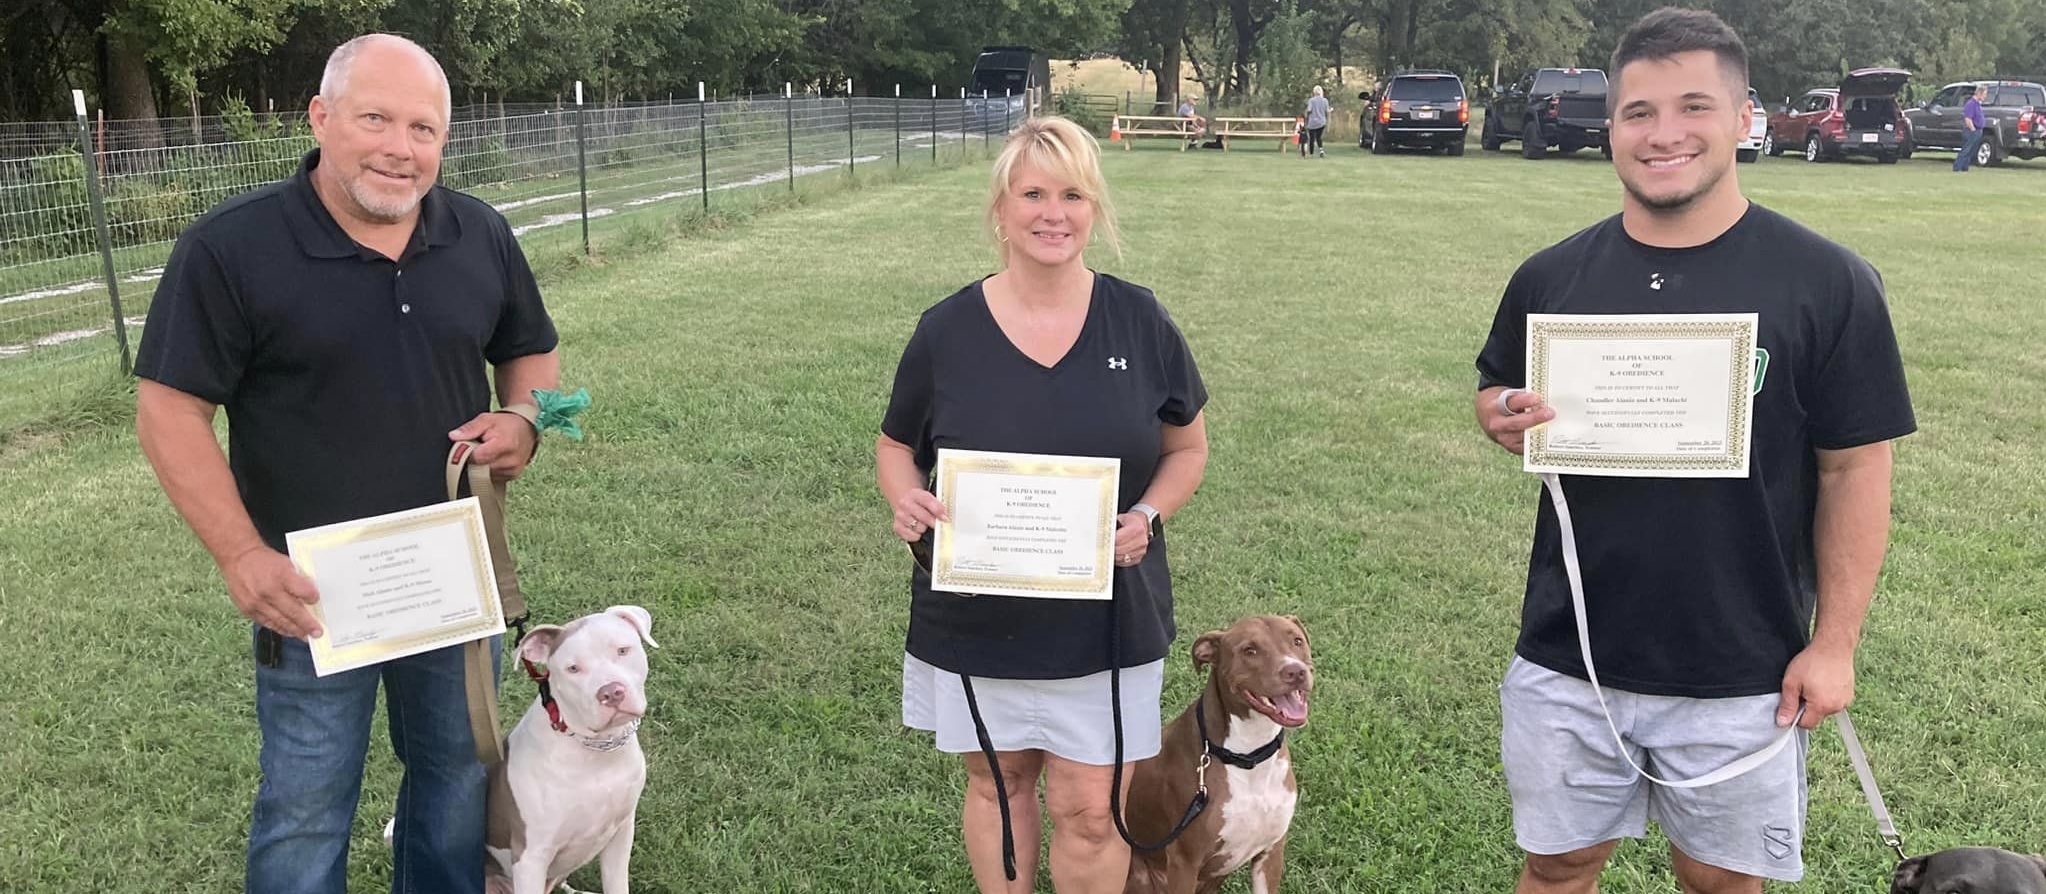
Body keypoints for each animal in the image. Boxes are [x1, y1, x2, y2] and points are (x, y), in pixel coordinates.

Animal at [482, 601, 650, 887]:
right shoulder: (530, 858)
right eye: (573, 669)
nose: (611, 692)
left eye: (622, 650)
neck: (596, 750)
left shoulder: (621, 831)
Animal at [1121, 613, 1309, 891]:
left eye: (1297, 641)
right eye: (1250, 650)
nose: (1295, 671)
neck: (1248, 754)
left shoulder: (1271, 853)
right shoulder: (1184, 862)